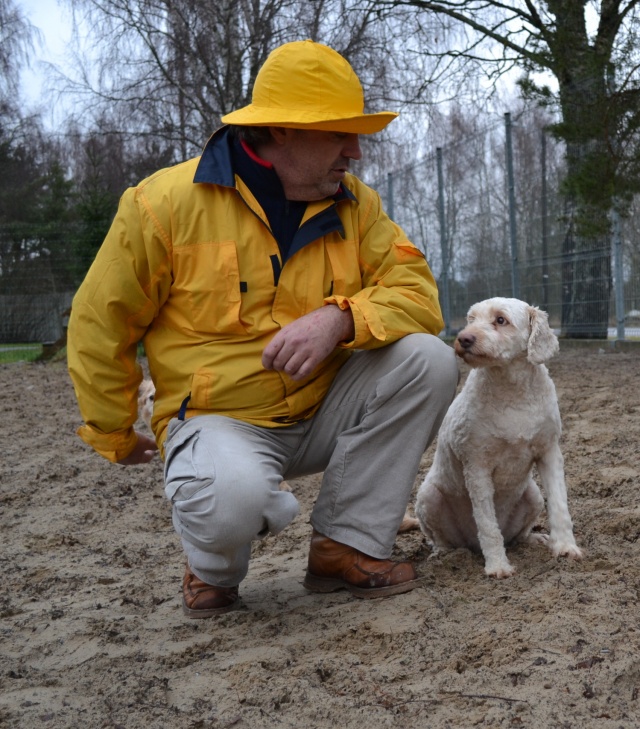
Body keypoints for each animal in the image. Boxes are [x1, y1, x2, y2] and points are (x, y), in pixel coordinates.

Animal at [414, 297, 583, 578]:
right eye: (471, 319)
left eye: (501, 320)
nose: (463, 338)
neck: (512, 390)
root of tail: (469, 544)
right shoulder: (477, 465)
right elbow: (487, 524)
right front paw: (498, 566)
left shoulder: (549, 451)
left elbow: (560, 504)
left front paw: (566, 547)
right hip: (428, 497)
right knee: (442, 539)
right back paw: (444, 554)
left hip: (532, 495)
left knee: (517, 535)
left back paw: (534, 539)